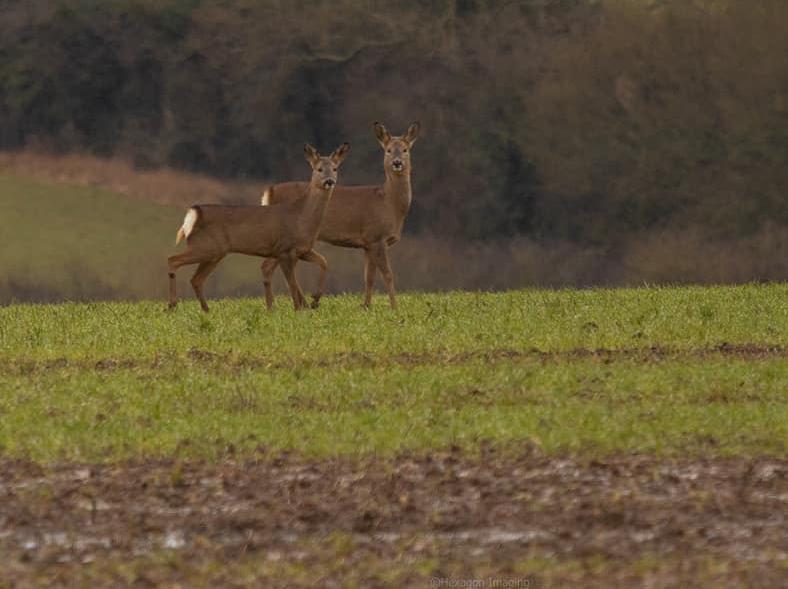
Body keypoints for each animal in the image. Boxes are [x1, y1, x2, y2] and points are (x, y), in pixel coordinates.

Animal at [167, 142, 349, 312]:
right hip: (205, 247)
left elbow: (324, 262)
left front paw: (315, 300)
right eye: (319, 169)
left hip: (215, 253)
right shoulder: (284, 249)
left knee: (196, 279)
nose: (329, 181)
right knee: (173, 260)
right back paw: (172, 305)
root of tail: (194, 214)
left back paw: (206, 310)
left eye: (335, 168)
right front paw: (298, 309)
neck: (302, 218)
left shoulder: (303, 250)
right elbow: (291, 282)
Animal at [260, 121, 420, 309]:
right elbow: (388, 274)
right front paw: (394, 307)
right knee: (268, 267)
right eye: (388, 150)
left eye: (405, 149)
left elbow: (369, 277)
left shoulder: (367, 244)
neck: (388, 202)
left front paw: (366, 306)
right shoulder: (377, 237)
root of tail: (270, 192)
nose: (397, 162)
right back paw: (279, 306)